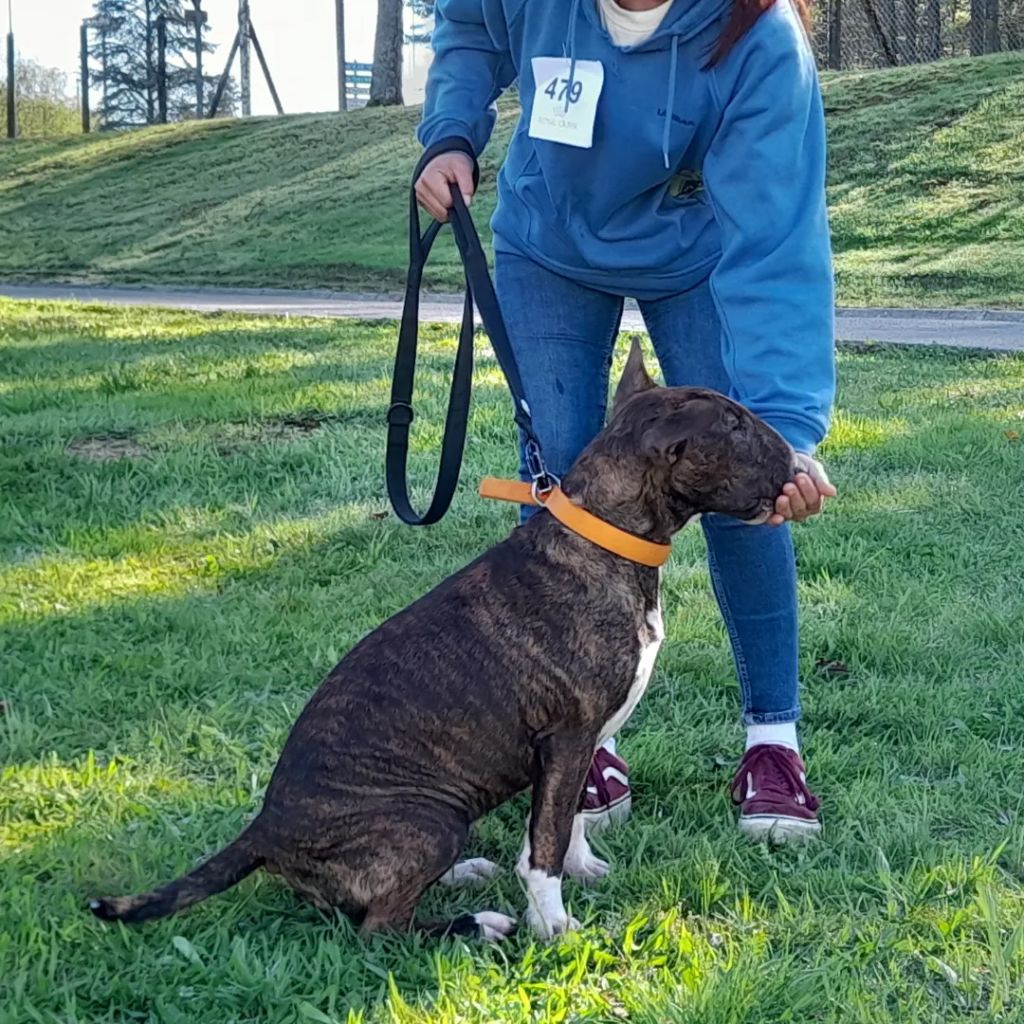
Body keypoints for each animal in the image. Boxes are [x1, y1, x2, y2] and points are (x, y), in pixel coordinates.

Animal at [90, 339, 790, 937]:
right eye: (735, 426)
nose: (793, 454)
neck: (603, 541)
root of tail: (265, 832)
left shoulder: (575, 747)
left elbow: (565, 823)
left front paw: (582, 870)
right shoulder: (566, 737)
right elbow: (544, 845)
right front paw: (552, 922)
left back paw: (465, 879)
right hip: (431, 819)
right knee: (378, 927)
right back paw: (478, 924)